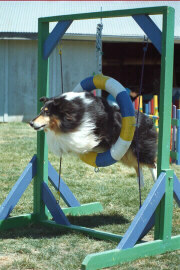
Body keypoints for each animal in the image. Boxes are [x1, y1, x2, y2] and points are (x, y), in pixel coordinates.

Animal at [29, 92, 158, 187]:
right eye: (41, 110)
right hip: (127, 155)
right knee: (138, 165)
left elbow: (81, 139)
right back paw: (141, 183)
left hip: (139, 149)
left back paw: (156, 179)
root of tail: (149, 119)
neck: (75, 113)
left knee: (152, 164)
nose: (30, 123)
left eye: (47, 112)